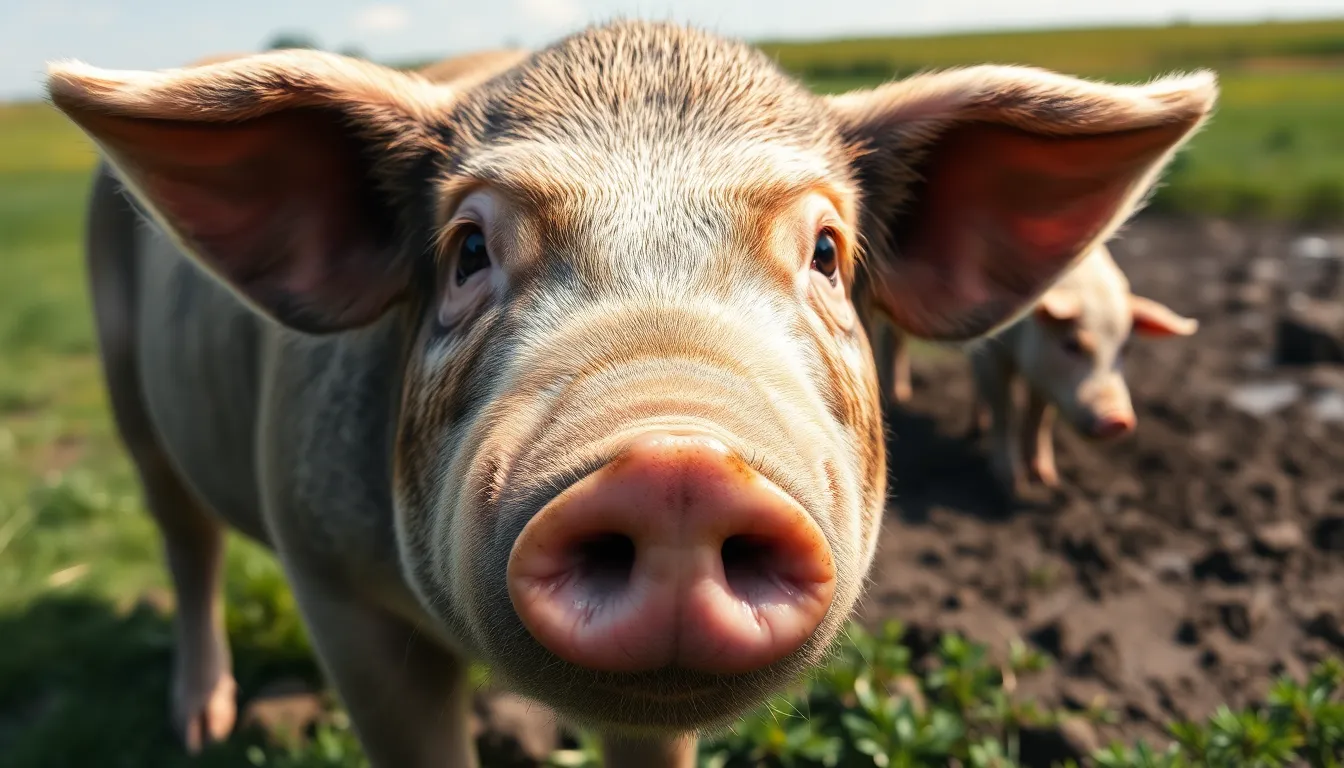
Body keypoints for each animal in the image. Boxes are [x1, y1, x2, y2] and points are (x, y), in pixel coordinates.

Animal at [46, 21, 1216, 768]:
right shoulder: (327, 575)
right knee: (185, 542)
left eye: (828, 253)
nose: (677, 463)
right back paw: (200, 726)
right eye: (468, 250)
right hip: (126, 388)